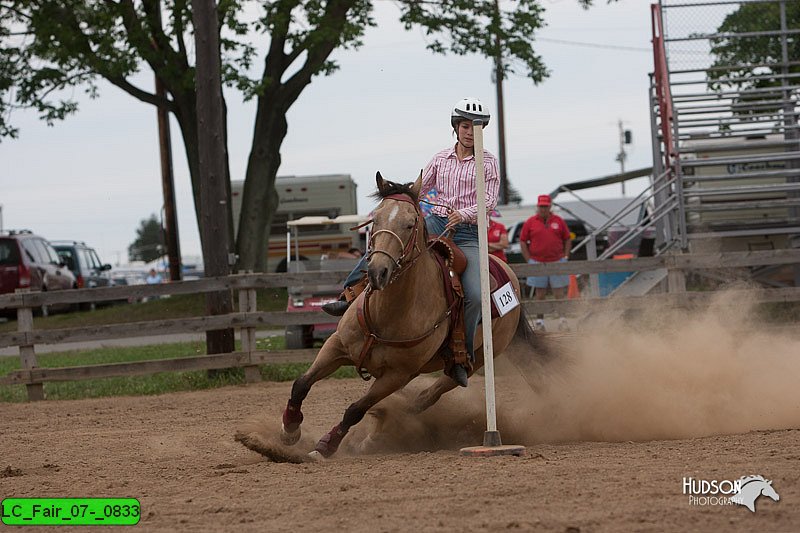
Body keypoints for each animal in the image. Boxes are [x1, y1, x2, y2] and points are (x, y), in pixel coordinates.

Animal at [278, 170, 540, 458]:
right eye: (376, 218)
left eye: (410, 223)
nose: (378, 272)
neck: (387, 314)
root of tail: (510, 274)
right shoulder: (337, 346)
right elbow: (301, 383)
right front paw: (290, 429)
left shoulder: (397, 375)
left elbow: (356, 409)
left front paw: (326, 445)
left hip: (482, 356)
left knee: (431, 394)